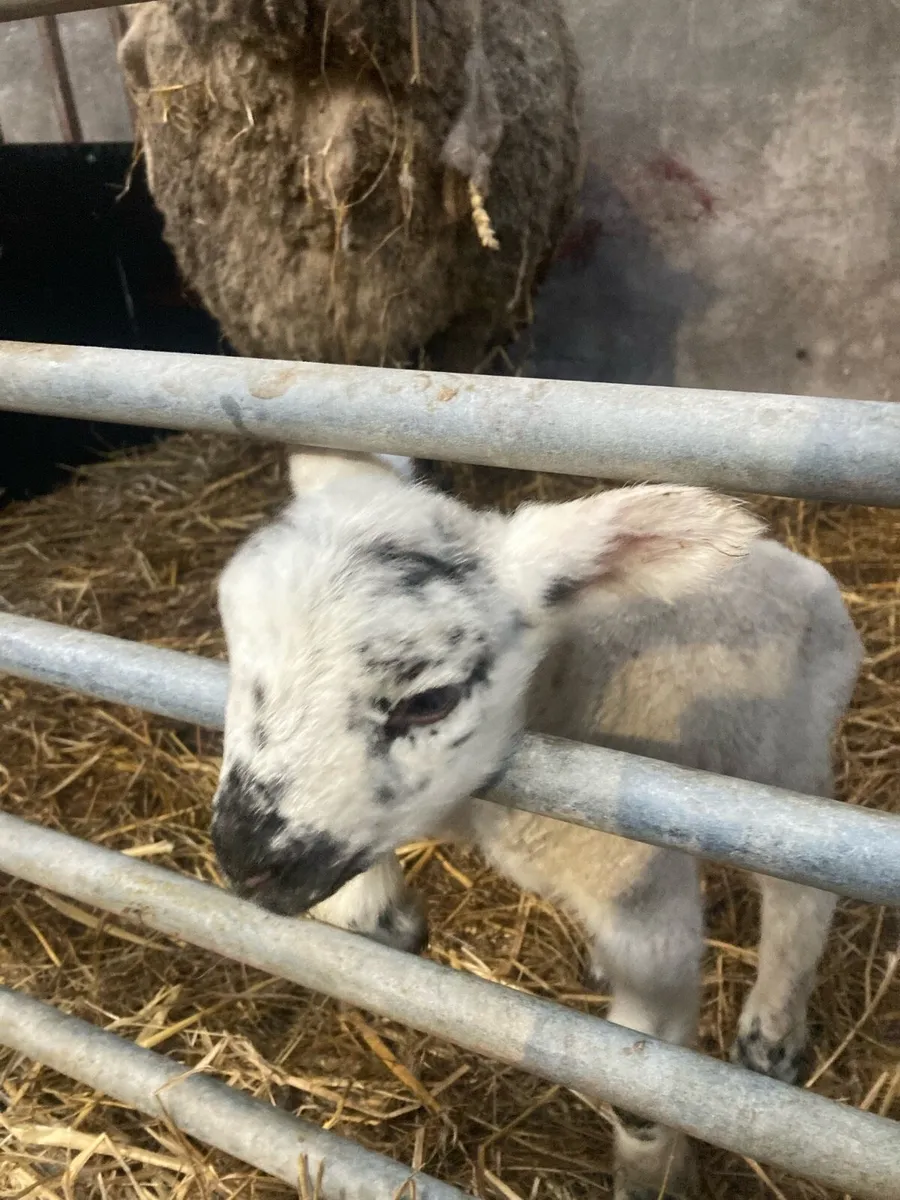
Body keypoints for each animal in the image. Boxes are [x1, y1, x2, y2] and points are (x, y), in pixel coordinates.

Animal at [209, 449, 863, 1199]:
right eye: (233, 646)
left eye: (430, 701)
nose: (243, 860)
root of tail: (798, 565)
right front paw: (387, 917)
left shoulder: (641, 893)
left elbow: (642, 1099)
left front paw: (652, 1180)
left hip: (783, 767)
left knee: (803, 895)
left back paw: (771, 1036)